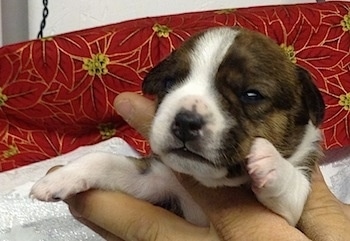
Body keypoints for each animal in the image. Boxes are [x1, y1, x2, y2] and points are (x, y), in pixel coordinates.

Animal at [30, 27, 326, 227]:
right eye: (169, 83)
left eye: (251, 95)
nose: (185, 121)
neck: (212, 183)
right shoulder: (157, 180)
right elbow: (104, 160)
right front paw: (60, 178)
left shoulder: (293, 211)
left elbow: (291, 185)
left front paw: (268, 160)